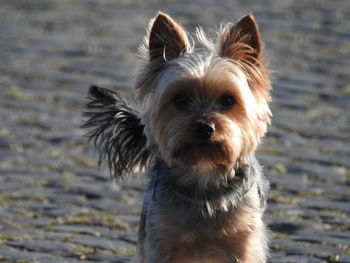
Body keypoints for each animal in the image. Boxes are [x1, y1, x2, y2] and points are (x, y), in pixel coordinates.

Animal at [83, 11, 272, 263]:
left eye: (228, 100)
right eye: (180, 100)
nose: (205, 127)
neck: (203, 170)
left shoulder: (243, 245)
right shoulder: (159, 240)